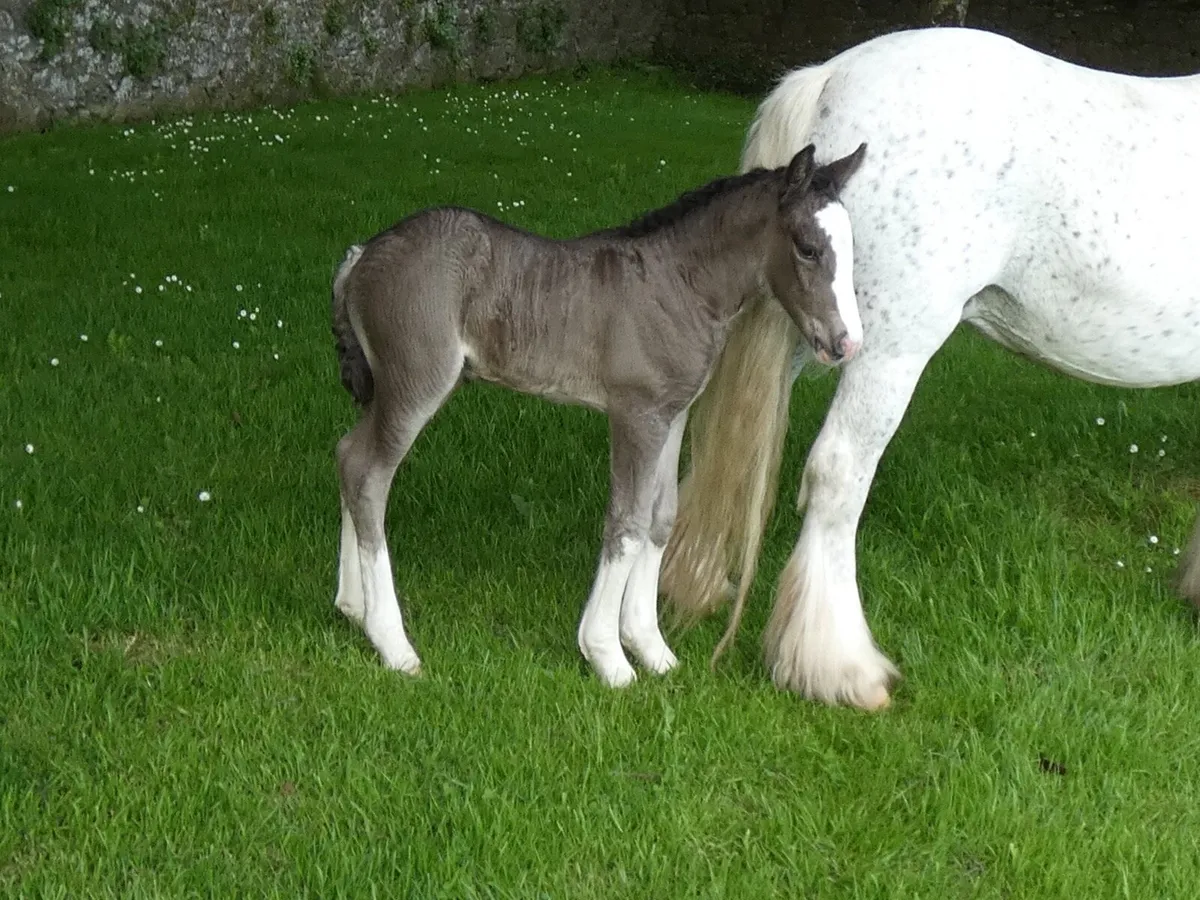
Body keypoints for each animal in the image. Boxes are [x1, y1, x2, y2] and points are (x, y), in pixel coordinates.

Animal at [329, 143, 868, 685]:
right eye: (807, 248)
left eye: (852, 250)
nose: (847, 343)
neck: (680, 284)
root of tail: (361, 254)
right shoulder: (636, 414)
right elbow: (627, 521)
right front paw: (608, 655)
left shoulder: (671, 415)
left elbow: (661, 516)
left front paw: (652, 648)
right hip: (418, 382)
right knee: (370, 474)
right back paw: (392, 643)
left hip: (394, 389)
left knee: (349, 457)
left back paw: (353, 607)